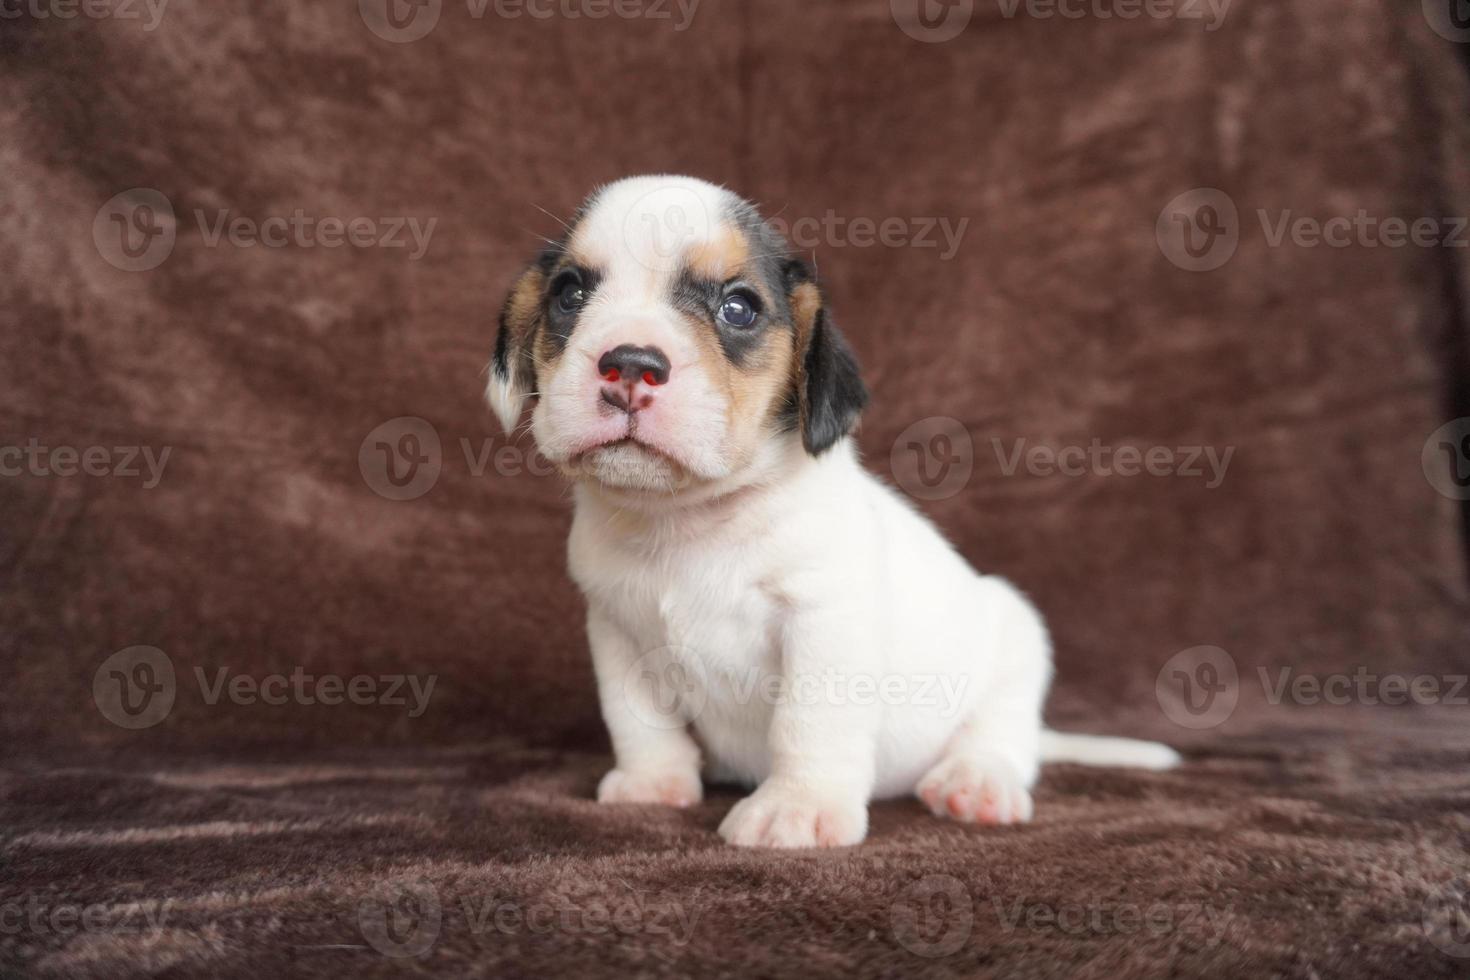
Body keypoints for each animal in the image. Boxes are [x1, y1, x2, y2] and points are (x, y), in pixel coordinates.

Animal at [488, 176, 1176, 852]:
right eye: (570, 293)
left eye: (738, 307)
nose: (630, 362)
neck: (690, 520)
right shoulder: (617, 633)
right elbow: (638, 722)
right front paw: (653, 783)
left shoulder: (824, 623)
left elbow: (809, 721)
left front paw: (799, 807)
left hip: (1015, 634)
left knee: (1000, 734)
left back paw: (977, 781)